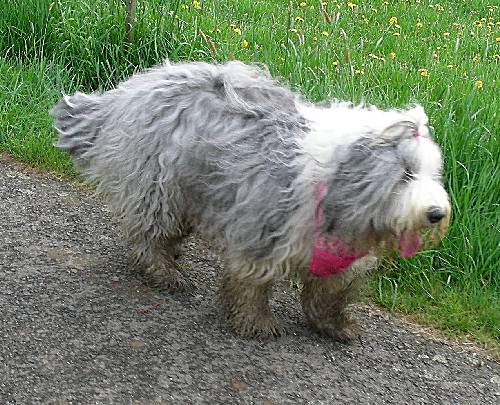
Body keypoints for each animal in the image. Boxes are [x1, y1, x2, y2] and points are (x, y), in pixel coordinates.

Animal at [51, 61, 450, 341]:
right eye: (406, 173)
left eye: (433, 173)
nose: (435, 213)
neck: (339, 181)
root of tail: (130, 89)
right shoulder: (263, 230)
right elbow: (253, 281)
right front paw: (256, 322)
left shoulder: (341, 250)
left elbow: (330, 291)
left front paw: (334, 325)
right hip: (159, 185)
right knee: (148, 233)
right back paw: (164, 271)